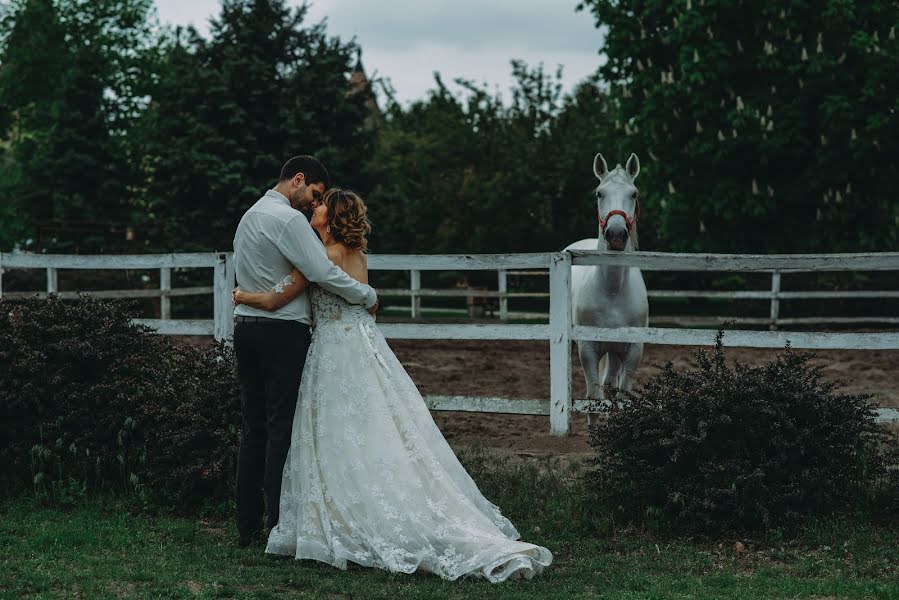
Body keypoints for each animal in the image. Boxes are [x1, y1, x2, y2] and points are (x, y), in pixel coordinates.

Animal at [568, 155, 652, 426]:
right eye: (599, 193)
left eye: (634, 194)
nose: (615, 234)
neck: (613, 292)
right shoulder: (588, 349)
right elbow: (593, 397)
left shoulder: (633, 350)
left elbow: (621, 395)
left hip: (615, 352)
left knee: (610, 384)